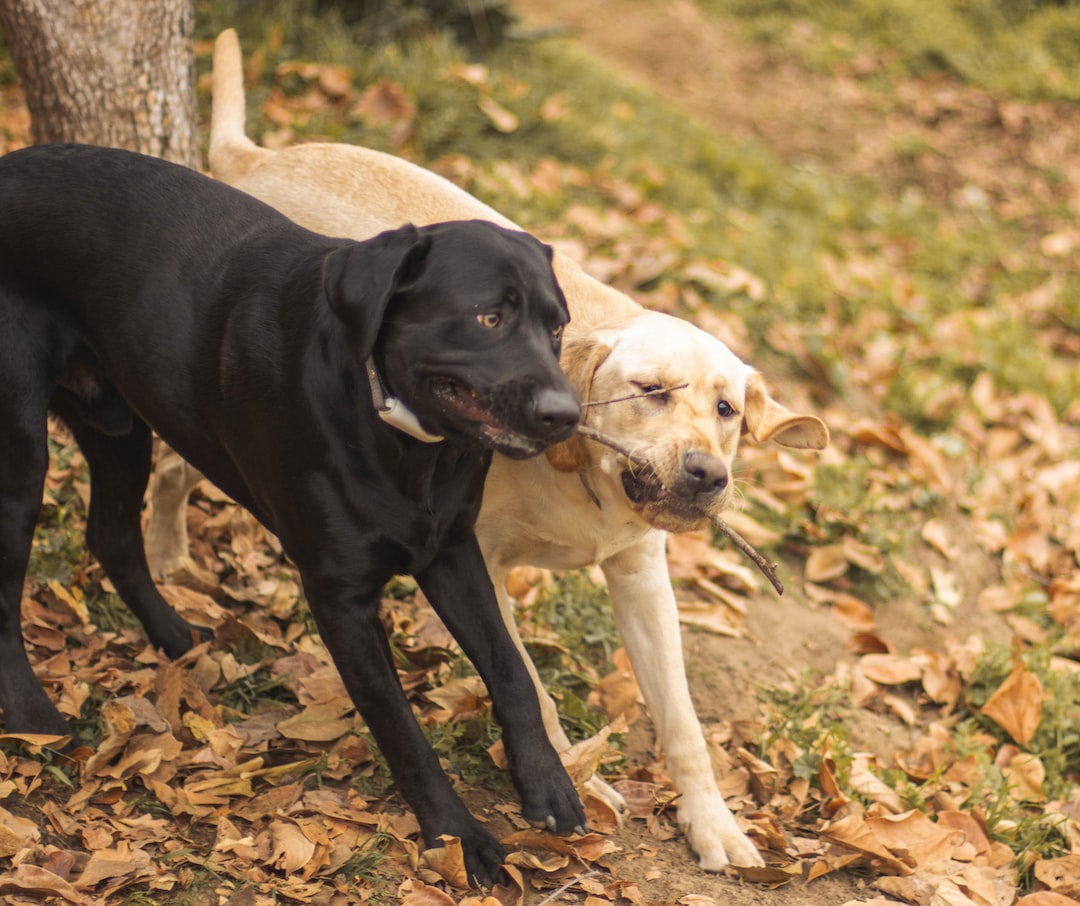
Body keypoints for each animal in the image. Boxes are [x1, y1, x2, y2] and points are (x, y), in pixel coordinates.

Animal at [0, 143, 587, 885]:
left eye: (557, 327)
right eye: (489, 317)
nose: (567, 416)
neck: (400, 438)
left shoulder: (451, 548)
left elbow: (511, 669)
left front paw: (545, 783)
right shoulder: (340, 595)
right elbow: (402, 729)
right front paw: (458, 837)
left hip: (119, 425)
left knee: (111, 535)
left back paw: (177, 637)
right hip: (21, 451)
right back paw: (30, 716)